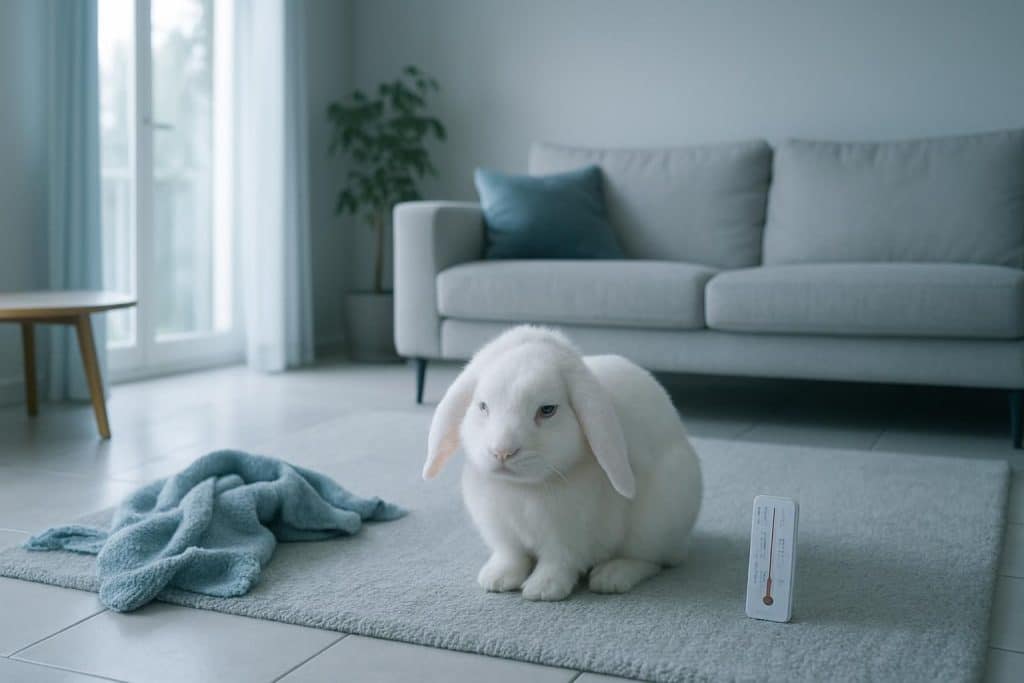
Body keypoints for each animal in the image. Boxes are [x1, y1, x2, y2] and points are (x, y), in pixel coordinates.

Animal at [422, 325, 702, 601]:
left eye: (547, 410)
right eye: (482, 406)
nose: (502, 452)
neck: (522, 488)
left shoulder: (568, 538)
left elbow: (558, 562)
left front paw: (543, 590)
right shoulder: (503, 534)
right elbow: (511, 556)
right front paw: (497, 580)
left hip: (656, 521)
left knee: (651, 560)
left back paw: (611, 577)